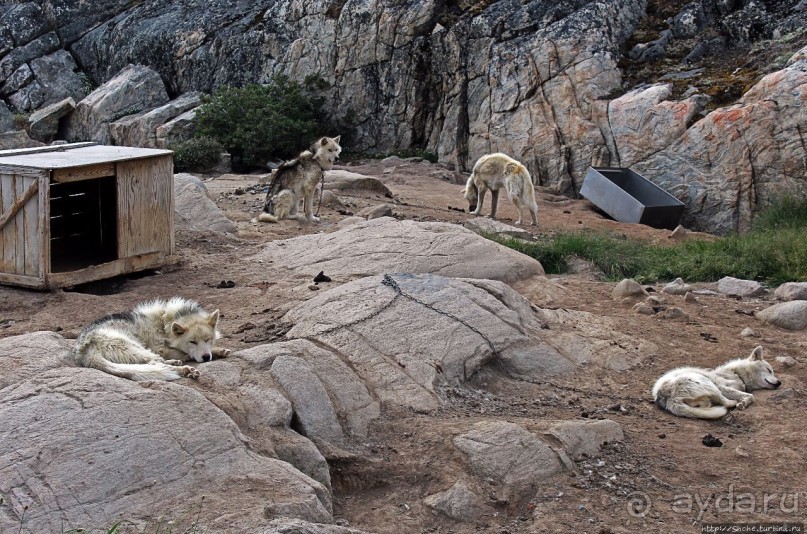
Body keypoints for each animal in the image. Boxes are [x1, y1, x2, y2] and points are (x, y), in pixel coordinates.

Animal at [656, 346, 784, 420]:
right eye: (769, 370)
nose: (779, 383)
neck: (737, 374)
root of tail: (669, 399)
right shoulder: (723, 387)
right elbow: (750, 396)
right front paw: (743, 402)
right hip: (709, 384)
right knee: (725, 402)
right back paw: (733, 403)